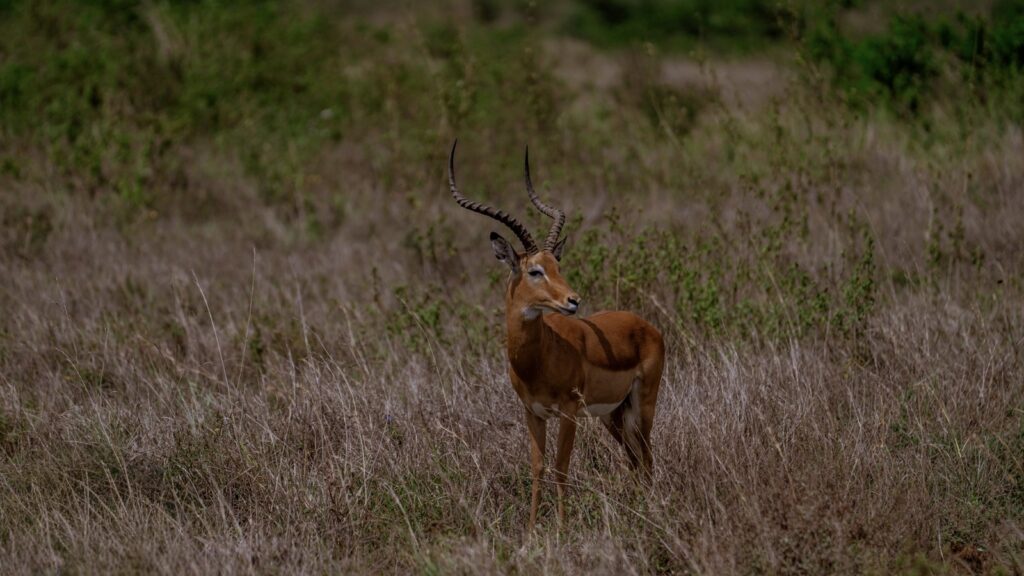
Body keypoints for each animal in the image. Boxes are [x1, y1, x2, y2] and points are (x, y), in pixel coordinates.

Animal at [447, 141, 665, 531]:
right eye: (535, 270)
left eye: (557, 265)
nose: (572, 300)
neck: (538, 359)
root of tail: (647, 326)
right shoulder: (532, 412)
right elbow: (537, 467)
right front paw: (533, 530)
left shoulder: (568, 411)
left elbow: (561, 468)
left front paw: (562, 529)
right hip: (613, 414)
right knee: (633, 459)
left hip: (642, 405)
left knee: (647, 454)